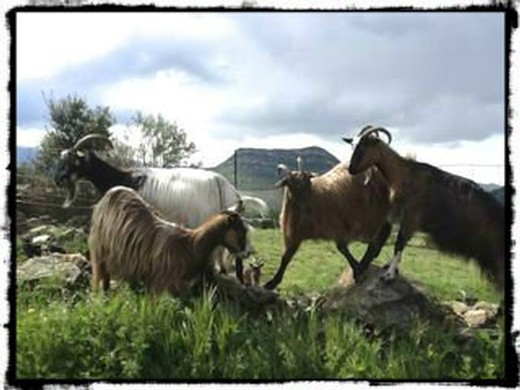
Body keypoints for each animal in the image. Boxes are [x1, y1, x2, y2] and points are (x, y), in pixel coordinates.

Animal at [89, 186, 252, 296]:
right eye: (241, 231)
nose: (248, 253)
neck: (190, 244)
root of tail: (110, 194)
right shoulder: (166, 281)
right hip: (101, 252)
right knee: (104, 277)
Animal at [262, 155, 392, 290]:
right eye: (292, 184)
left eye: (308, 182)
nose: (307, 208)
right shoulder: (294, 234)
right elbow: (286, 257)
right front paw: (272, 282)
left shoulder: (338, 226)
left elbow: (342, 249)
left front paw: (357, 270)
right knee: (383, 233)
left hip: (375, 214)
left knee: (380, 236)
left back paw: (367, 261)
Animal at [344, 125, 506, 290]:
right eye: (352, 145)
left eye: (363, 146)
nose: (350, 169)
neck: (405, 175)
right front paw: (390, 267)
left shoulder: (411, 218)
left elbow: (399, 244)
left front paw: (389, 275)